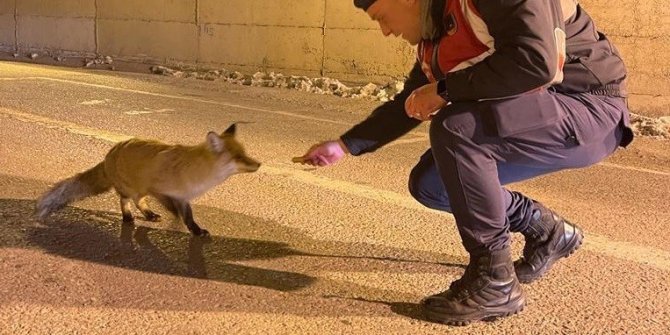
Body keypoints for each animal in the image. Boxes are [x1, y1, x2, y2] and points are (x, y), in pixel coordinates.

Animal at [34, 122, 262, 236]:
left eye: (244, 153)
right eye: (238, 157)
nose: (259, 164)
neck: (198, 172)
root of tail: (109, 154)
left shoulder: (183, 197)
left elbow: (189, 217)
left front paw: (195, 230)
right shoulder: (160, 190)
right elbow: (176, 212)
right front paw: (177, 223)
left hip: (139, 188)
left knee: (136, 201)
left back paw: (148, 215)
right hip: (133, 188)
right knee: (126, 200)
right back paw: (129, 217)